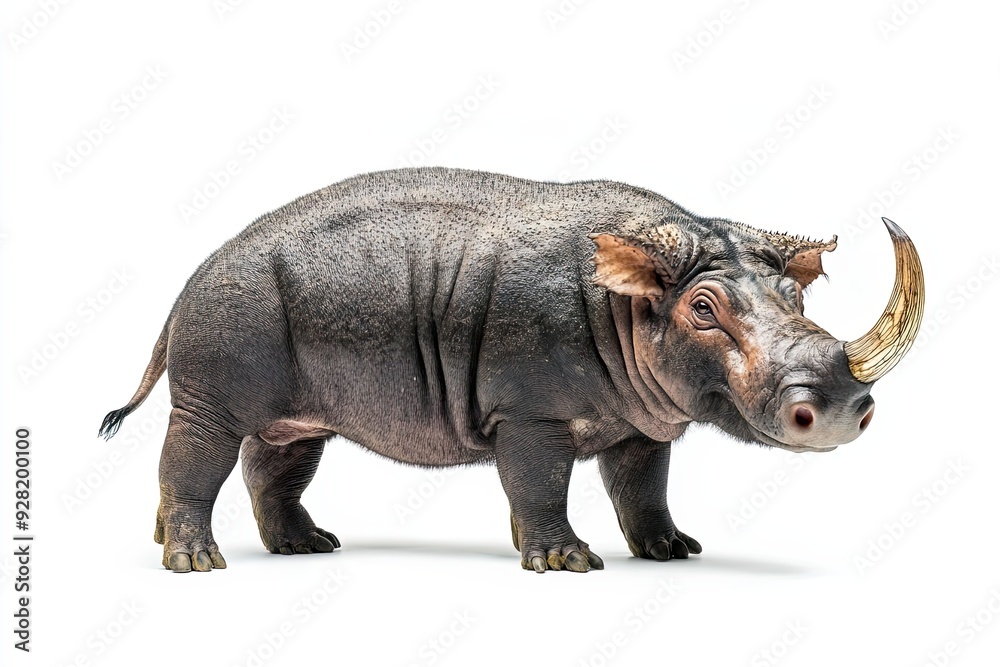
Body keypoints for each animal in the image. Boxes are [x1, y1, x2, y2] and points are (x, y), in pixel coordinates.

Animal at [99, 167, 924, 573]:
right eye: (703, 308)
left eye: (796, 296)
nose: (842, 401)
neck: (635, 298)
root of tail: (186, 284)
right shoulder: (529, 412)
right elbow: (539, 481)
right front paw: (566, 564)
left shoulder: (644, 420)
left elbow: (643, 487)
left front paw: (672, 552)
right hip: (220, 355)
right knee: (200, 445)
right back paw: (197, 565)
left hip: (298, 400)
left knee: (280, 455)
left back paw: (310, 547)